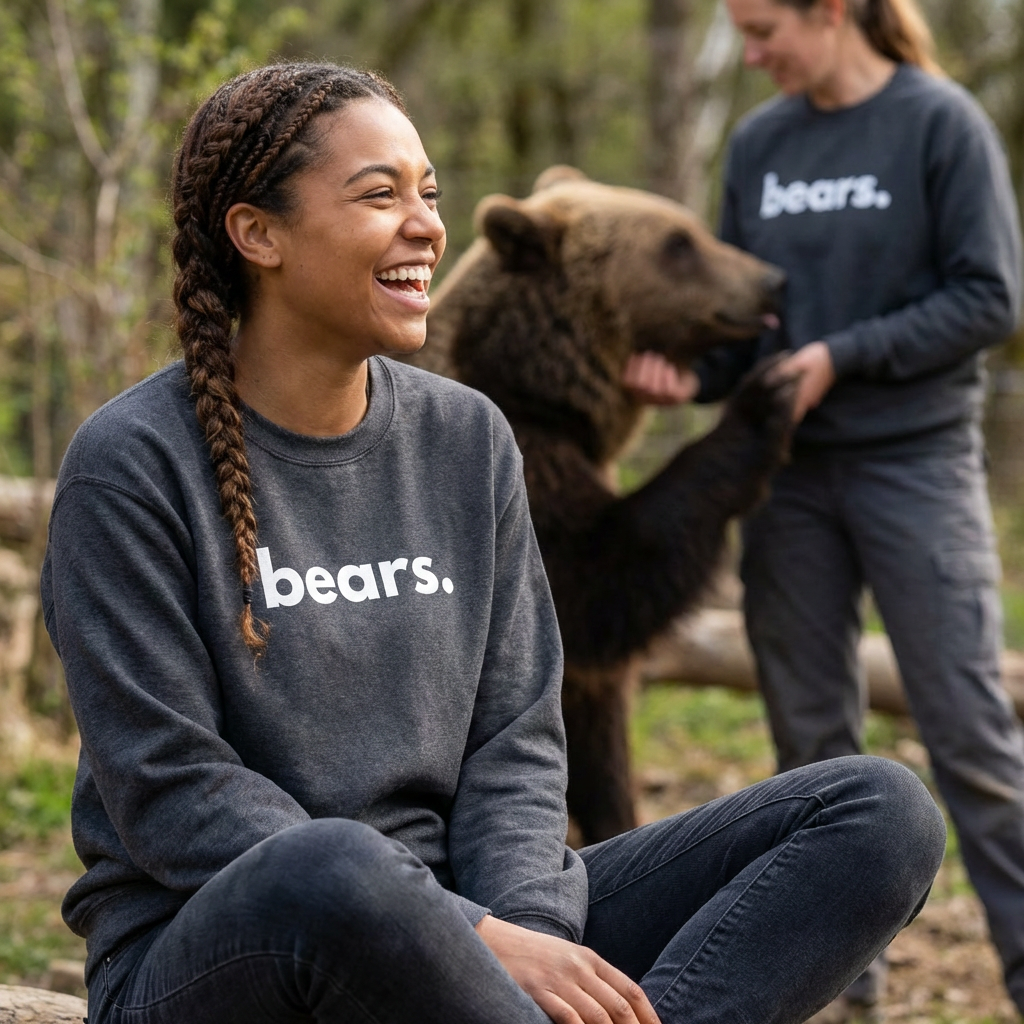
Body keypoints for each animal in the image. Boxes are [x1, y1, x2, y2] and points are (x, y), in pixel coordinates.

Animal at [413, 166, 795, 845]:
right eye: (678, 243)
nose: (771, 280)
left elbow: (599, 735)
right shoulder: (520, 474)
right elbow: (603, 575)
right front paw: (764, 400)